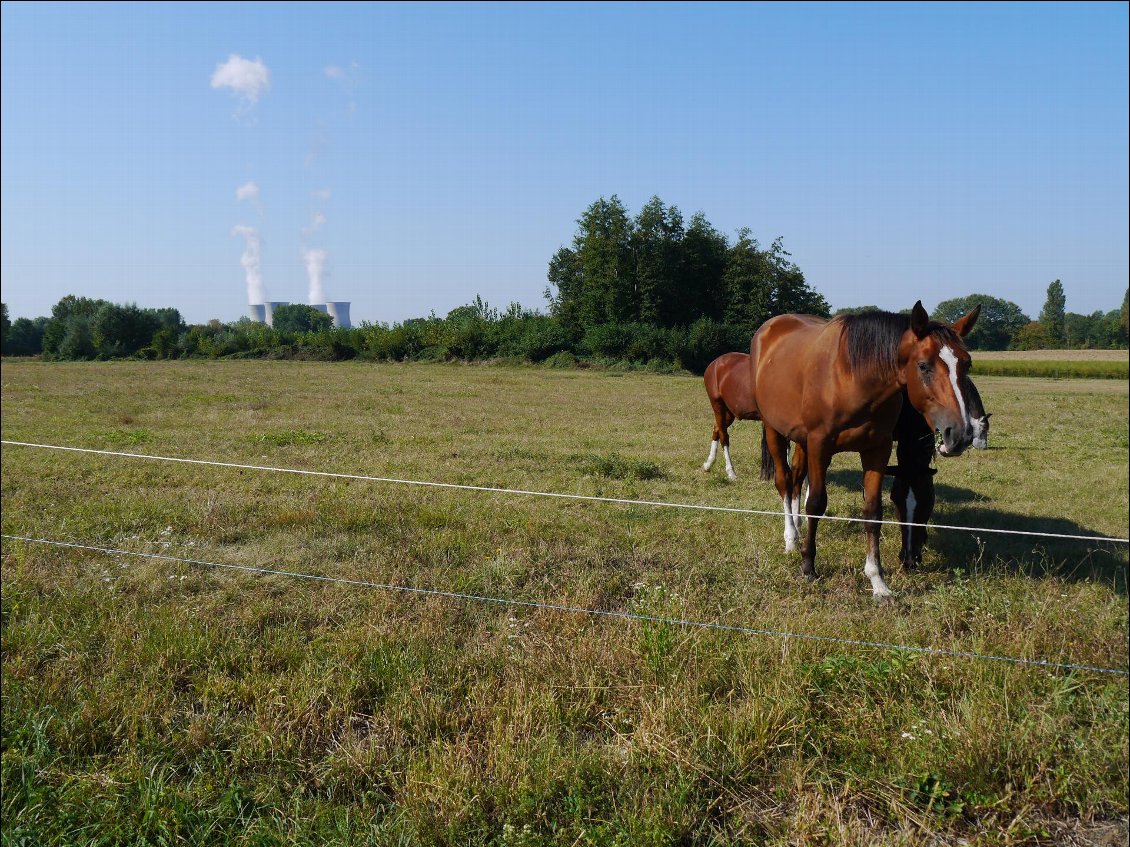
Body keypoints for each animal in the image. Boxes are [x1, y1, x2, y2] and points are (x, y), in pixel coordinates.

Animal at [754, 302, 985, 600]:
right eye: (923, 365)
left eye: (966, 364)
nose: (961, 433)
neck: (853, 377)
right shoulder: (820, 445)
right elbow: (816, 503)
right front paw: (808, 567)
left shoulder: (877, 449)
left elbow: (873, 512)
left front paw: (878, 580)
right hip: (774, 430)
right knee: (784, 481)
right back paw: (792, 538)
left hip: (801, 439)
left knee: (796, 481)